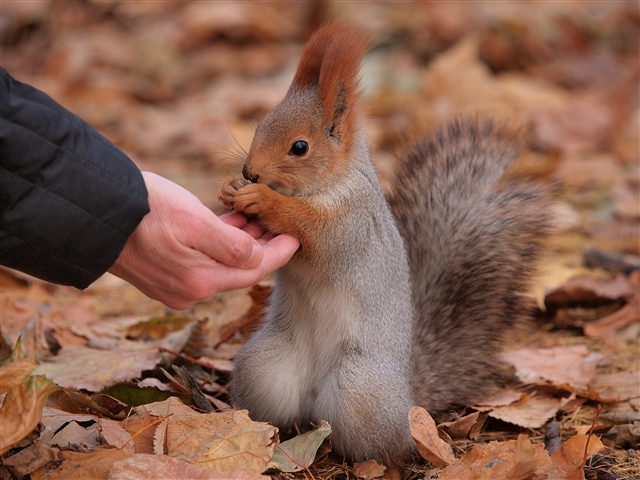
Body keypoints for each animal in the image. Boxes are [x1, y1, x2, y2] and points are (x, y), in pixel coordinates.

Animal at [219, 23, 552, 468]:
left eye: (299, 147)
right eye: (260, 126)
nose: (250, 171)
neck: (328, 183)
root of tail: (409, 400)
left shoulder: (353, 222)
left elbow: (315, 233)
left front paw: (265, 200)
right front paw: (230, 189)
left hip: (360, 389)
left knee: (387, 443)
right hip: (265, 366)